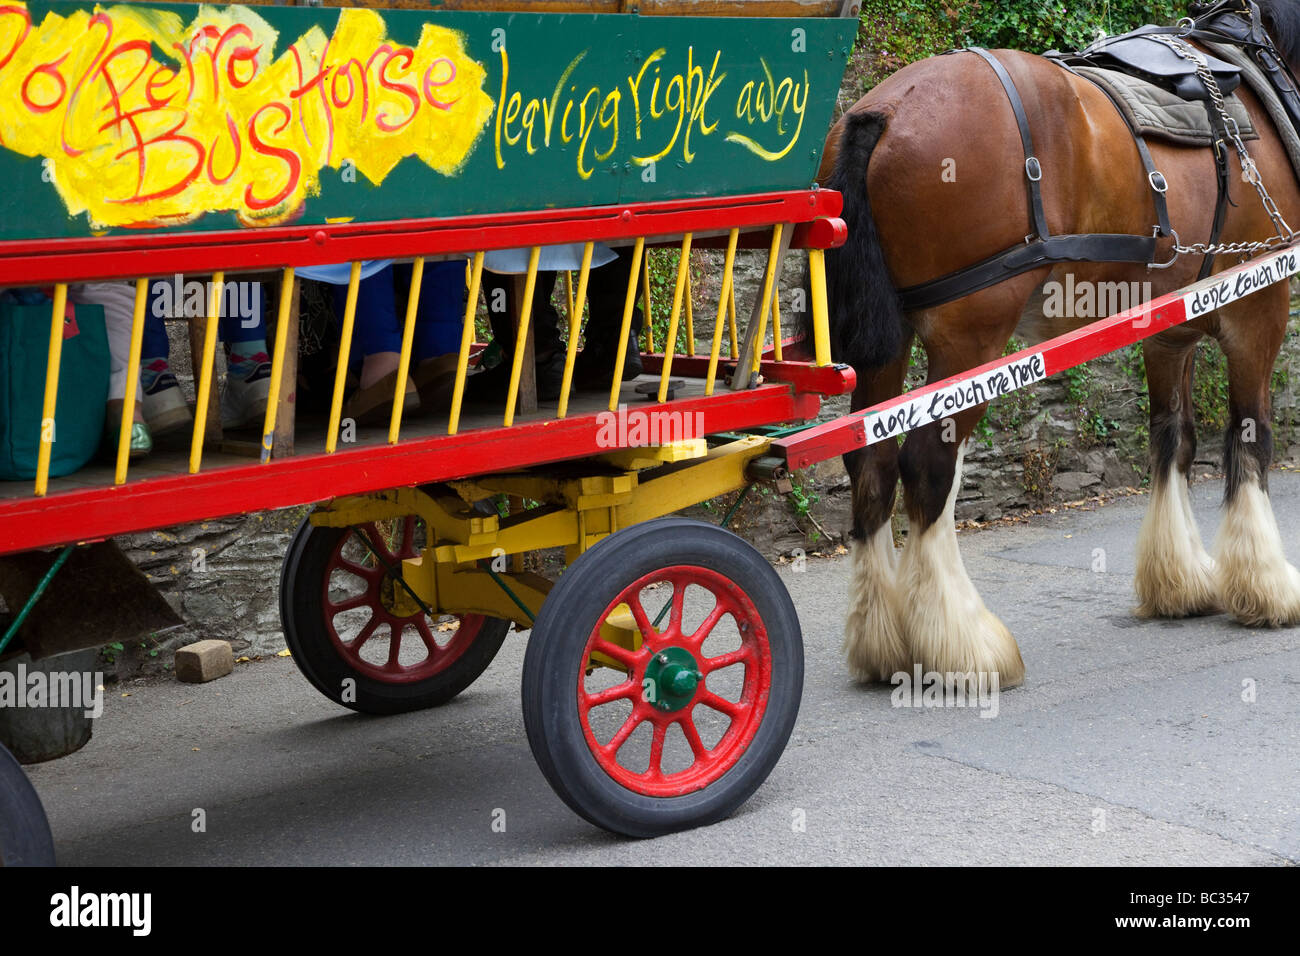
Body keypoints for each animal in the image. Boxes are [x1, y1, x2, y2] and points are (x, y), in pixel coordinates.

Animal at [816, 0, 1300, 686]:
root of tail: (882, 110)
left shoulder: (1170, 330)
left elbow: (1173, 440)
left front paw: (1178, 582)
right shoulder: (1259, 305)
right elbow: (1251, 438)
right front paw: (1266, 588)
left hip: (887, 345)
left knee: (871, 464)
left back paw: (882, 642)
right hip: (971, 341)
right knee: (927, 468)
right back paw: (964, 643)